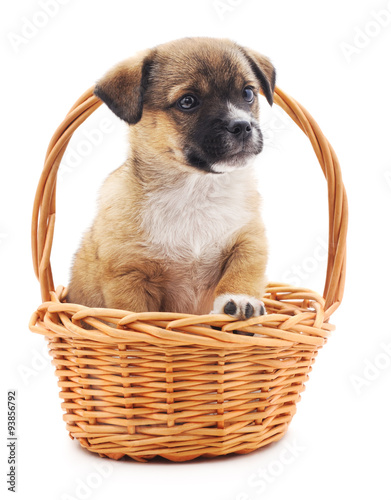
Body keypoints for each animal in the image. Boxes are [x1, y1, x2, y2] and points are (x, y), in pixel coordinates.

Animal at [67, 37, 276, 322]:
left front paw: (240, 301)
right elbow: (132, 311)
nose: (242, 126)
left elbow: (243, 271)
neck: (195, 190)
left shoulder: (249, 239)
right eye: (188, 101)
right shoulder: (128, 274)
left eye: (248, 93)